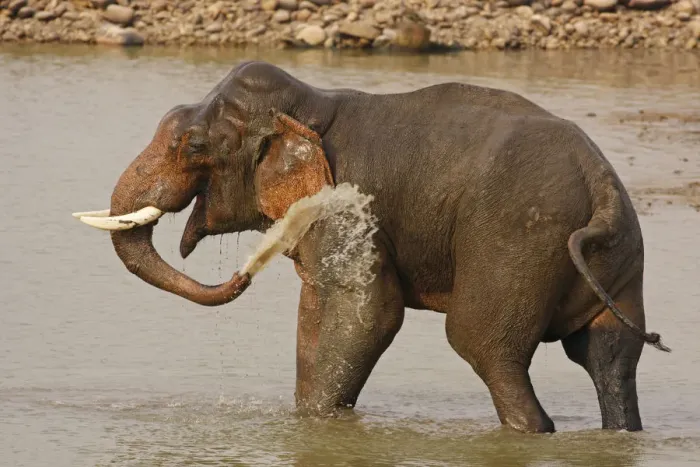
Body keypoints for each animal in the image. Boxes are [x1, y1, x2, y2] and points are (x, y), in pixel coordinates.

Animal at [74, 60, 670, 434]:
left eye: (193, 146)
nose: (243, 274)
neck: (311, 105)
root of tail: (599, 182)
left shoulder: (346, 200)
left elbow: (367, 312)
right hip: (618, 259)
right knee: (607, 355)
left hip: (518, 242)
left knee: (482, 344)